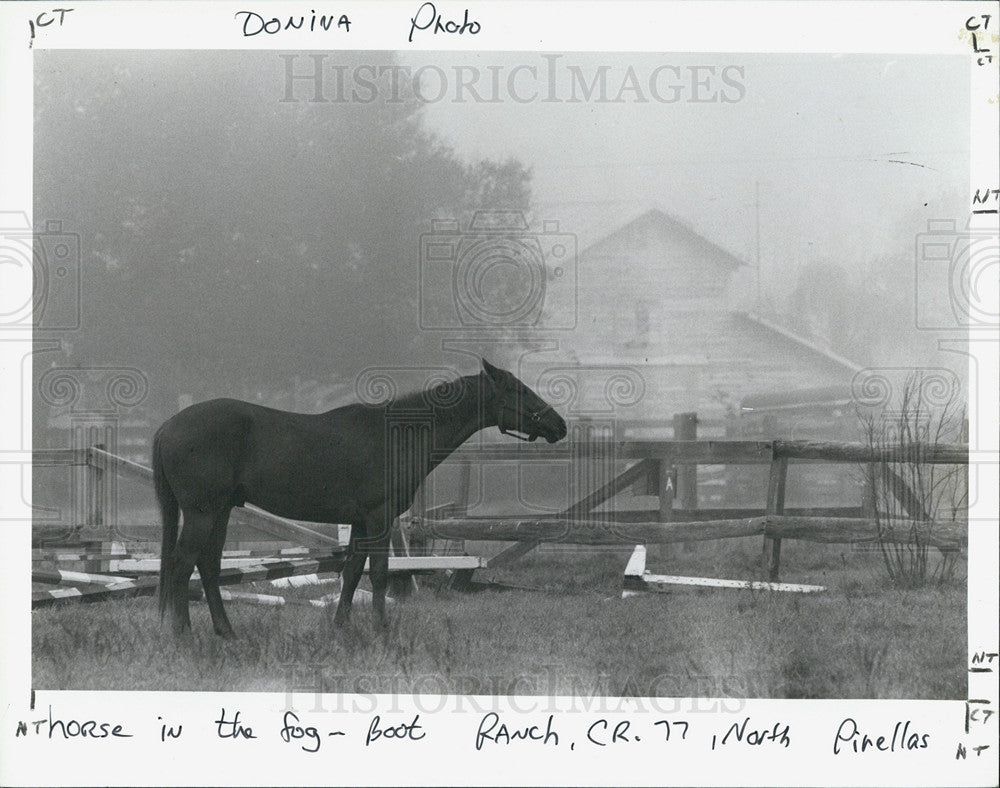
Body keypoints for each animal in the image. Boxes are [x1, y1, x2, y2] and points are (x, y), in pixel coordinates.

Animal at [153, 360, 568, 636]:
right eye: (519, 390)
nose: (559, 425)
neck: (396, 435)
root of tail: (167, 427)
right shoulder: (379, 517)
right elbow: (380, 574)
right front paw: (382, 628)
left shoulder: (359, 521)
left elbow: (353, 572)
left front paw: (342, 626)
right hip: (202, 512)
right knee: (182, 564)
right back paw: (183, 635)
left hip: (220, 512)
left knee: (207, 566)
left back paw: (226, 631)